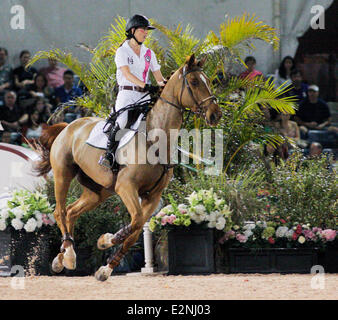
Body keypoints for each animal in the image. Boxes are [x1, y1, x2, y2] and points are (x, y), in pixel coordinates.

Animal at [34, 53, 222, 282]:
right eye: (194, 82)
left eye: (208, 81)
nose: (215, 114)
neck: (155, 138)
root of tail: (68, 126)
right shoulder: (126, 187)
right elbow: (136, 221)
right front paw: (106, 240)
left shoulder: (152, 196)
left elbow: (137, 227)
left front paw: (106, 267)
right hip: (63, 175)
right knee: (60, 210)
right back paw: (68, 255)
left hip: (99, 191)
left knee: (71, 212)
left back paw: (62, 257)